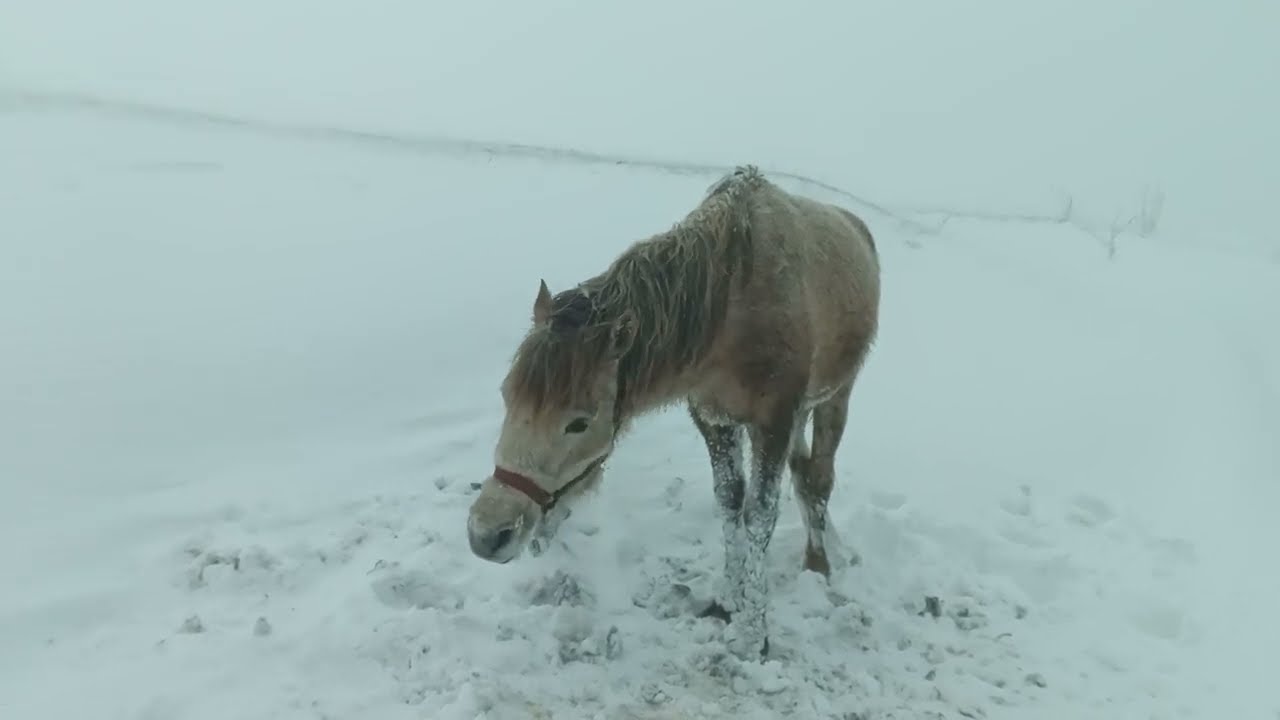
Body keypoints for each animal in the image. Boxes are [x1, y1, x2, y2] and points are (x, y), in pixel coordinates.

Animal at [466, 165, 881, 659]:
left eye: (579, 422)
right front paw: (729, 600)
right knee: (803, 474)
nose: (487, 533)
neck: (731, 310)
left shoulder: (773, 421)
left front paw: (754, 635)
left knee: (818, 478)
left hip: (836, 394)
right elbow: (729, 501)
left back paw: (820, 560)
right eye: (506, 397)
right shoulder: (714, 419)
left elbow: (760, 515)